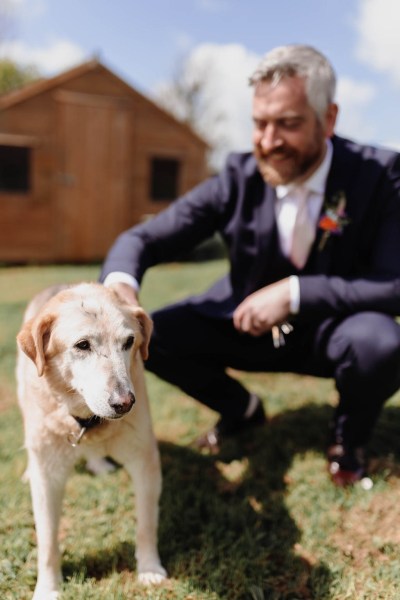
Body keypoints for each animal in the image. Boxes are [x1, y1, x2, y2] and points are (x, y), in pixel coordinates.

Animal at [16, 282, 166, 600]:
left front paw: (149, 569)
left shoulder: (145, 461)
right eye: (82, 345)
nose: (125, 403)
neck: (87, 420)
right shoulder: (48, 478)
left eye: (129, 342)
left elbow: (146, 523)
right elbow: (47, 540)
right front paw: (48, 588)